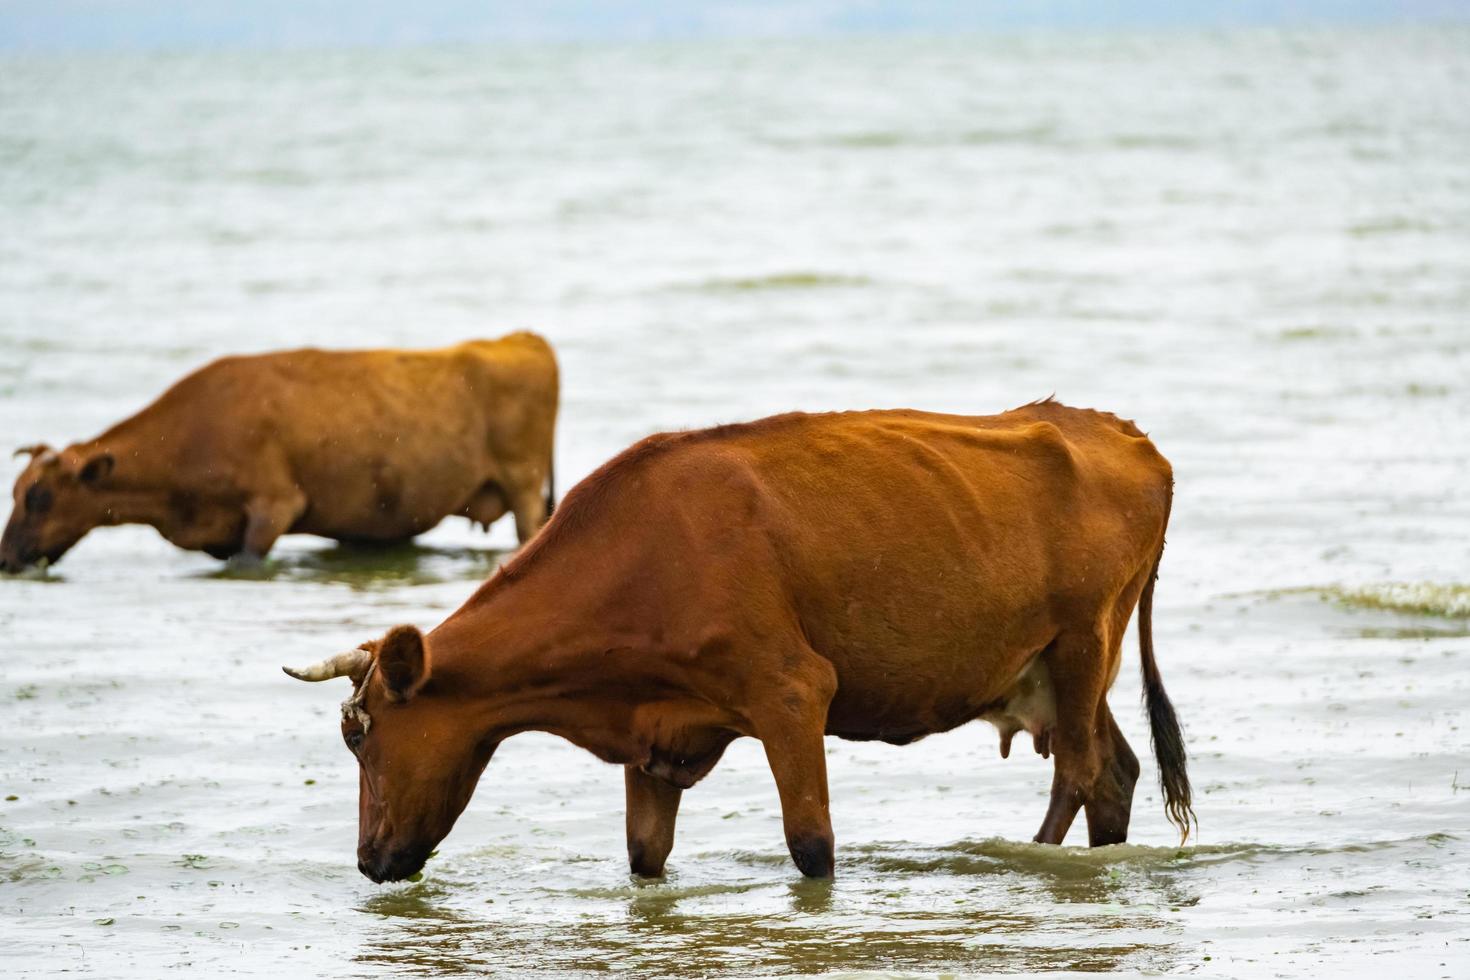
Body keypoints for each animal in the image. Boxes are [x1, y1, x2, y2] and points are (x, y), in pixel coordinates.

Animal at [0, 333, 558, 570]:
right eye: (17, 492)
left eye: (40, 497)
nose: (5, 558)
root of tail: (519, 339)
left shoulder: (274, 504)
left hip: (525, 484)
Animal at [286, 402, 1193, 887]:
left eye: (360, 733)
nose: (367, 861)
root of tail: (1125, 434)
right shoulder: (655, 734)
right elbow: (644, 856)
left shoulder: (792, 692)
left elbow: (812, 845)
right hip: (1057, 668)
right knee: (1113, 772)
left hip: (1082, 641)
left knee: (1078, 771)